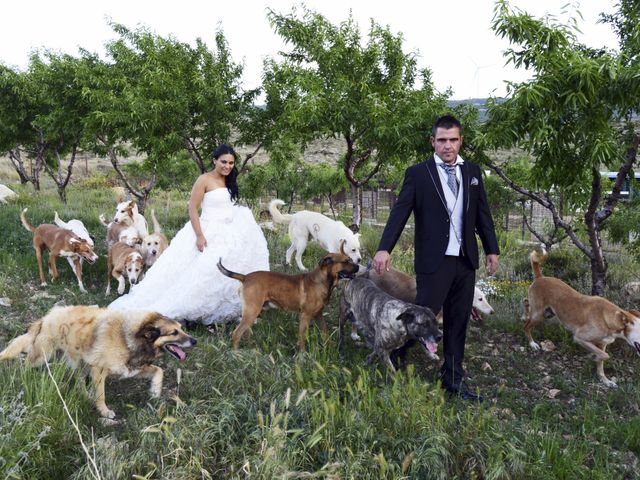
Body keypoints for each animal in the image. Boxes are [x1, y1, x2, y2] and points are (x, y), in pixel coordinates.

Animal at [0, 306, 195, 418]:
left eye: (181, 329)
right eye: (173, 333)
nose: (195, 341)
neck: (129, 337)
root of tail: (48, 316)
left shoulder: (131, 367)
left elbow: (158, 370)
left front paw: (155, 391)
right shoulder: (99, 370)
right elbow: (101, 395)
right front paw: (104, 411)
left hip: (81, 362)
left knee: (79, 382)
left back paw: (86, 395)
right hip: (43, 356)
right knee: (26, 364)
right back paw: (23, 379)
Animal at [218, 242, 360, 350]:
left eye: (350, 260)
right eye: (346, 261)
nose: (358, 266)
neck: (322, 281)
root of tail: (245, 277)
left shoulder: (318, 315)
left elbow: (325, 333)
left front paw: (330, 349)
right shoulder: (305, 316)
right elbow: (302, 338)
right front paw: (302, 356)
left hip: (251, 313)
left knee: (244, 332)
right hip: (252, 311)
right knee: (236, 334)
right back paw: (236, 354)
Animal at [524, 249, 640, 388]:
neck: (611, 318)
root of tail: (540, 277)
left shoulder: (602, 344)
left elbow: (602, 362)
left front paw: (605, 380)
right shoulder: (580, 338)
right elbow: (605, 356)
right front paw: (593, 357)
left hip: (547, 313)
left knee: (526, 306)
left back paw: (524, 315)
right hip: (539, 315)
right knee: (526, 326)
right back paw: (532, 343)